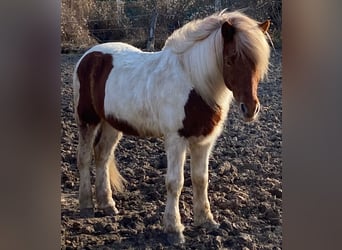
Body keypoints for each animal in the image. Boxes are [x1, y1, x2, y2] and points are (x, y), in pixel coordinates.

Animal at [73, 10, 272, 244]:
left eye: (258, 64)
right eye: (230, 59)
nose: (250, 109)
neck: (194, 84)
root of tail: (88, 55)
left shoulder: (204, 141)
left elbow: (200, 179)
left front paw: (206, 221)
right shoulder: (176, 140)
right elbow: (175, 182)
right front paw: (174, 229)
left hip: (112, 124)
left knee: (102, 156)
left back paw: (107, 204)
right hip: (87, 120)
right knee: (84, 158)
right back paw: (86, 206)